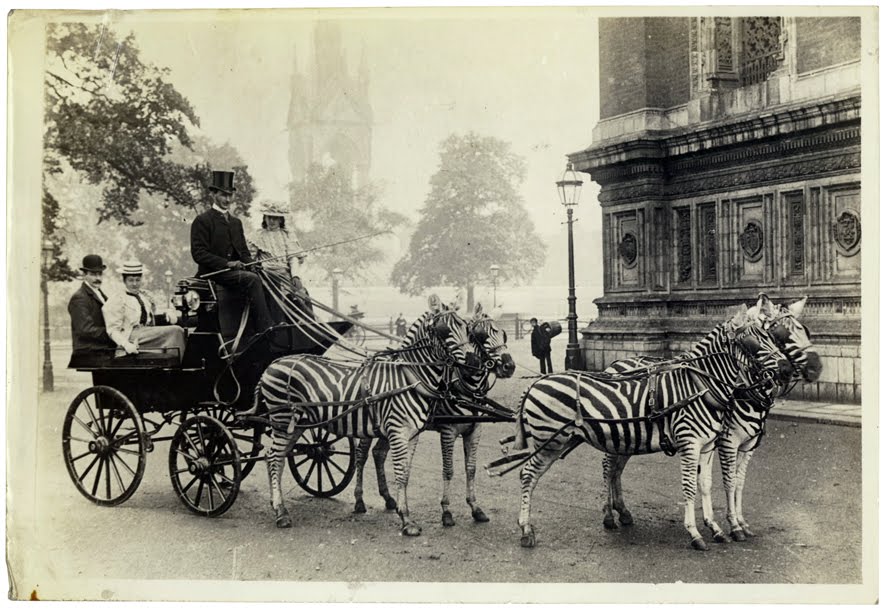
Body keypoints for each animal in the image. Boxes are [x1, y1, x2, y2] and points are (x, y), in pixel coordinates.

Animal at [253, 295, 475, 536]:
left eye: (466, 327)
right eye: (443, 330)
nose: (472, 361)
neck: (410, 377)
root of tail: (272, 364)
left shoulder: (413, 434)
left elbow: (406, 474)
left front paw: (402, 511)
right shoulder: (397, 432)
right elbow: (399, 473)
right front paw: (406, 520)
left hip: (296, 425)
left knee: (277, 458)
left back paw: (276, 505)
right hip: (282, 421)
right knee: (274, 458)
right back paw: (281, 513)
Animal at [352, 303, 516, 527]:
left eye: (503, 334)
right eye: (480, 335)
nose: (509, 366)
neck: (467, 388)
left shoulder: (475, 430)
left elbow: (471, 469)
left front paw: (475, 508)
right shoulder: (448, 431)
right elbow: (448, 469)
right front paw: (446, 511)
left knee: (379, 454)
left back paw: (388, 498)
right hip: (369, 425)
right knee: (361, 456)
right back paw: (359, 500)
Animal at [488, 305, 793, 550]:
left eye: (773, 337)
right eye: (752, 341)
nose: (787, 369)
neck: (700, 385)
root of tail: (535, 382)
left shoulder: (708, 445)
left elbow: (707, 486)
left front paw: (717, 528)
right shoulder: (695, 443)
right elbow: (691, 488)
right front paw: (696, 533)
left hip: (600, 438)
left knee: (604, 469)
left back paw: (614, 516)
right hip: (549, 441)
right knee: (528, 474)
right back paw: (527, 530)